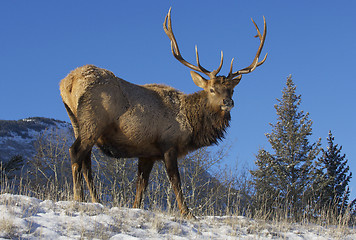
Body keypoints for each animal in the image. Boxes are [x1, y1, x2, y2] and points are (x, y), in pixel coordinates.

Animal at [59, 8, 268, 218]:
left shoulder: (147, 153)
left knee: (86, 161)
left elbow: (141, 186)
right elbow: (176, 181)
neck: (191, 126)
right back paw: (78, 198)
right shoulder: (168, 144)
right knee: (75, 152)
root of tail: (68, 81)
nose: (228, 102)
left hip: (76, 121)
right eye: (211, 89)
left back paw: (96, 200)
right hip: (93, 119)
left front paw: (136, 207)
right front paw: (187, 213)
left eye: (231, 90)